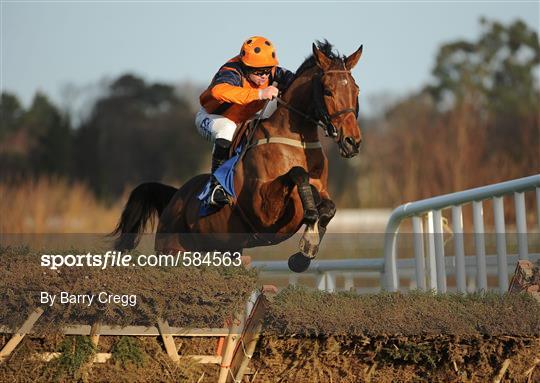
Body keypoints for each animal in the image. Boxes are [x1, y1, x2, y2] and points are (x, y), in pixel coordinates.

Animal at [113, 40, 362, 272]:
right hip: (172, 251)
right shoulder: (264, 211)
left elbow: (328, 208)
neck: (294, 144)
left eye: (356, 90)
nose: (352, 142)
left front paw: (303, 254)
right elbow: (298, 175)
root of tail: (174, 198)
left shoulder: (321, 190)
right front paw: (309, 223)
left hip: (226, 250)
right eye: (328, 91)